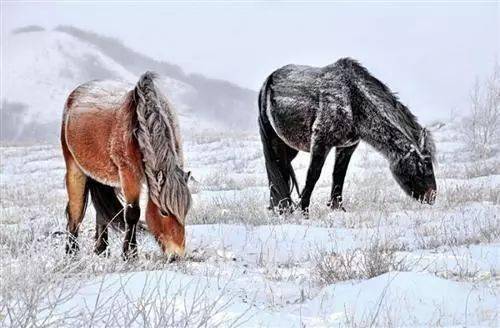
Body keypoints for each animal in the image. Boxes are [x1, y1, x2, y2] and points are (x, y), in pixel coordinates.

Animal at [59, 72, 191, 258]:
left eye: (185, 212)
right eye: (164, 212)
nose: (177, 255)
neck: (140, 126)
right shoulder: (129, 174)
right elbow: (133, 213)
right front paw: (130, 254)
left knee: (101, 212)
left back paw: (101, 250)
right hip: (74, 168)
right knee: (75, 212)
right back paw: (72, 253)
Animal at [260, 58, 436, 213]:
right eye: (421, 166)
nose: (432, 197)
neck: (352, 100)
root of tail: (268, 80)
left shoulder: (347, 147)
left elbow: (339, 175)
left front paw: (337, 208)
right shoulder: (320, 143)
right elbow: (313, 176)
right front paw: (304, 212)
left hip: (289, 147)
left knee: (282, 171)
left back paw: (280, 207)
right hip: (274, 141)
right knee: (278, 169)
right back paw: (283, 209)